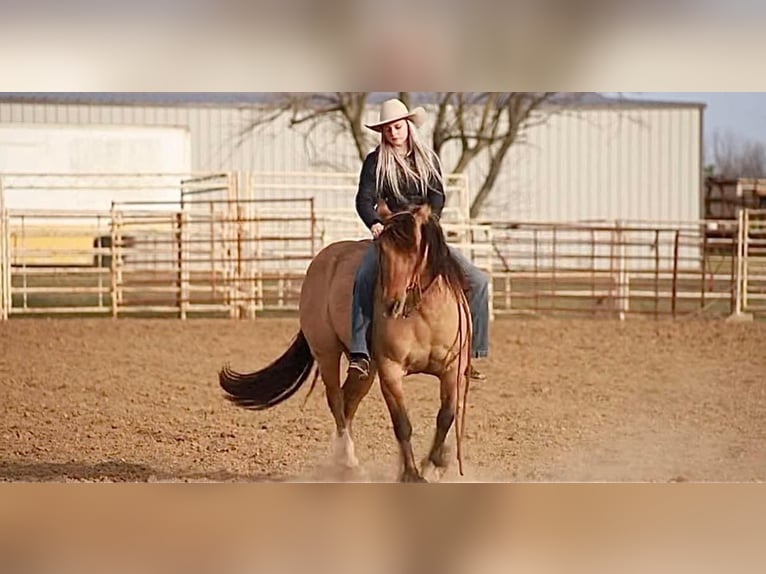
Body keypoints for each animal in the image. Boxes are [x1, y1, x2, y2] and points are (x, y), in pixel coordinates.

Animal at [219, 205, 474, 484]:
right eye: (382, 251)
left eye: (416, 249)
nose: (391, 305)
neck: (424, 315)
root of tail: (322, 260)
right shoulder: (390, 371)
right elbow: (402, 422)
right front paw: (411, 474)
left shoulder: (452, 370)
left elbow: (446, 416)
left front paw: (433, 465)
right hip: (327, 353)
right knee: (336, 401)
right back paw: (349, 463)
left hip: (366, 368)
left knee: (348, 400)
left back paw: (342, 461)